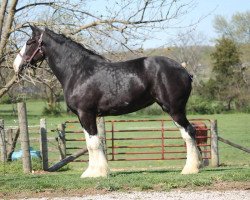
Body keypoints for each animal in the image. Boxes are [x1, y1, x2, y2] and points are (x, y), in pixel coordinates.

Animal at [13, 25, 201, 177]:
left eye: (29, 42)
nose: (16, 66)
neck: (78, 71)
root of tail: (184, 70)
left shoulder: (86, 114)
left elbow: (94, 143)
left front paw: (96, 173)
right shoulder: (84, 116)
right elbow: (92, 143)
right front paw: (95, 171)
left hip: (174, 109)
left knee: (189, 132)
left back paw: (190, 169)